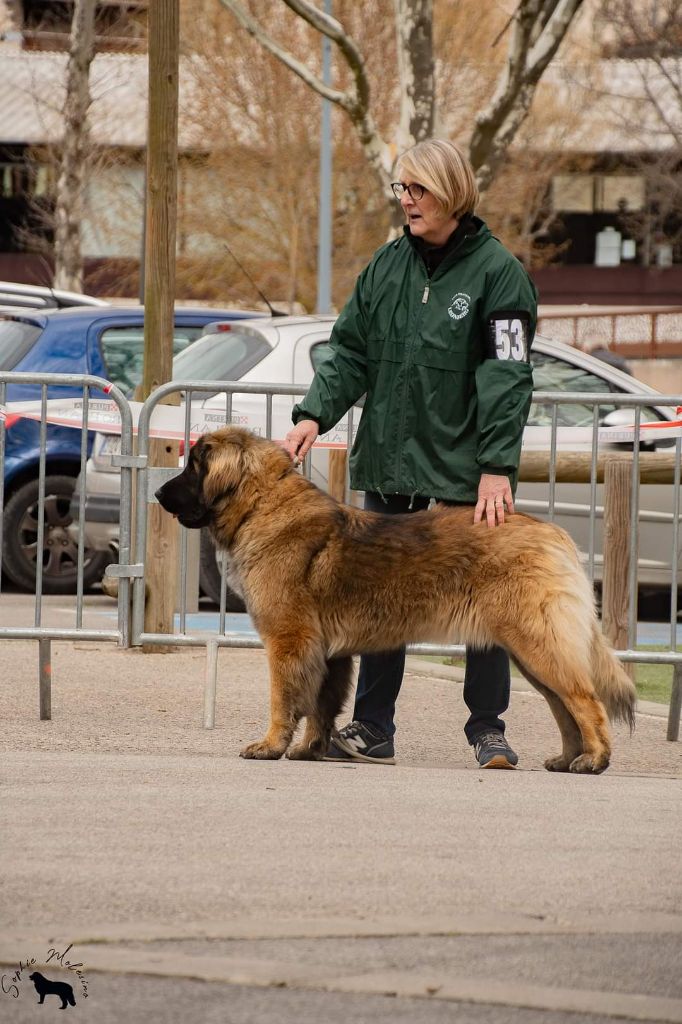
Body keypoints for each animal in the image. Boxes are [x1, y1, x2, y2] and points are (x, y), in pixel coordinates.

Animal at [153, 428, 630, 770]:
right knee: (563, 706)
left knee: (585, 701)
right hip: (531, 652)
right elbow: (320, 705)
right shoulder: (327, 652)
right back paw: (568, 758)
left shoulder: (289, 641)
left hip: (537, 643)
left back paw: (594, 760)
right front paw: (311, 749)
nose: (157, 494)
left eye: (193, 467)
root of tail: (554, 532)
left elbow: (284, 699)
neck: (261, 505)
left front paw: (270, 746)